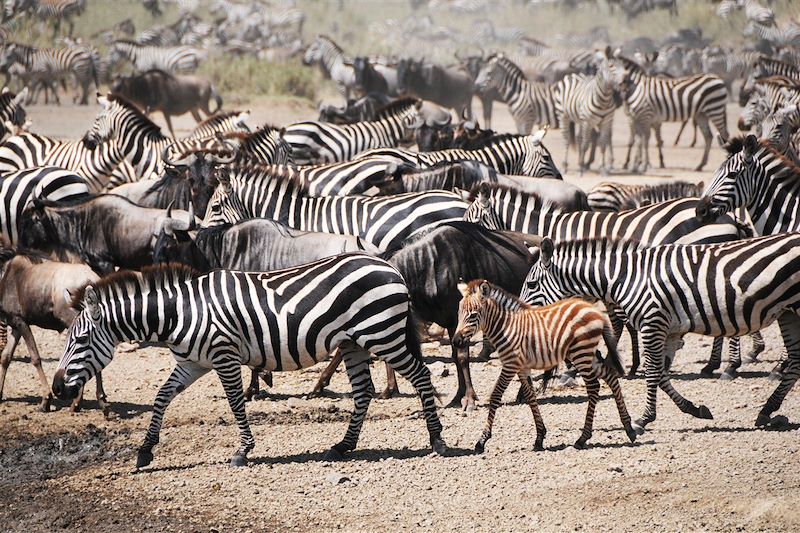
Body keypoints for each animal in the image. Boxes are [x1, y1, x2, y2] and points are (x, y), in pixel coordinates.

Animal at [454, 280, 636, 450]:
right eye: (458, 313)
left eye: (473, 315)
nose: (456, 342)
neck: (506, 327)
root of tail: (596, 310)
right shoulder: (522, 367)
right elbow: (530, 396)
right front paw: (540, 437)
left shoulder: (510, 364)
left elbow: (495, 396)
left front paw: (482, 440)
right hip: (585, 354)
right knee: (610, 377)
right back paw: (629, 428)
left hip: (581, 353)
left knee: (593, 387)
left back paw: (583, 438)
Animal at [520, 235, 800, 434]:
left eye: (531, 284)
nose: (523, 317)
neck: (625, 277)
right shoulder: (668, 329)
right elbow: (662, 374)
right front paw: (693, 409)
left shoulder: (651, 322)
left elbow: (653, 372)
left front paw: (643, 419)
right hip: (787, 312)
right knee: (796, 363)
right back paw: (767, 410)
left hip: (794, 307)